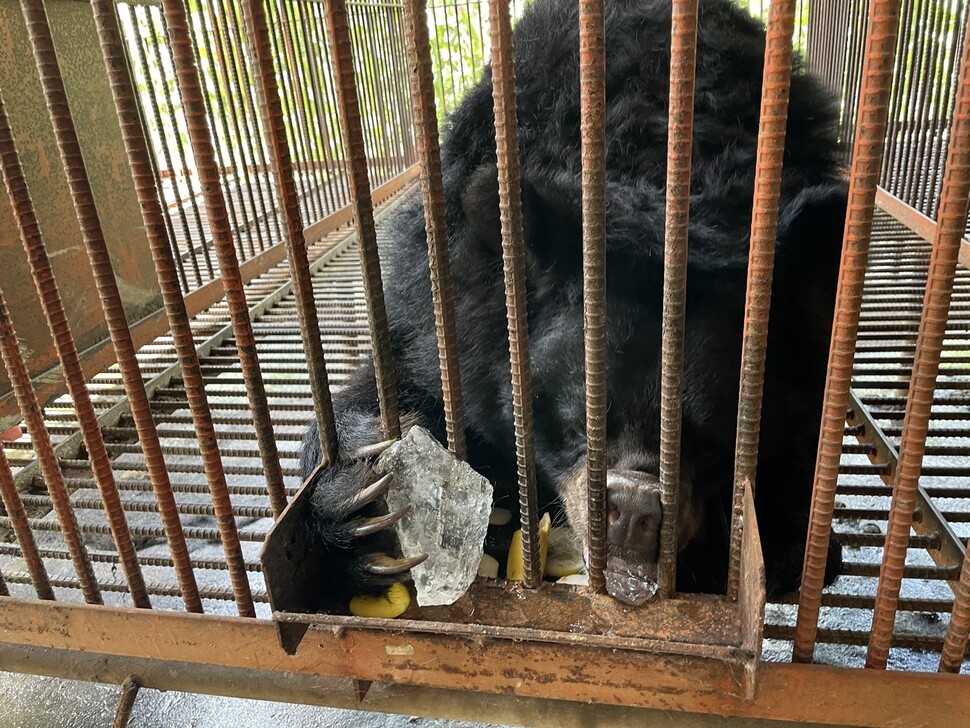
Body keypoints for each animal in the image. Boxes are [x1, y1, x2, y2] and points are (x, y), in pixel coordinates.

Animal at [298, 0, 844, 600]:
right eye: (578, 423)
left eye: (706, 442)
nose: (634, 509)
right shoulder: (442, 292)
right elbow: (398, 378)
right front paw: (364, 496)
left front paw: (784, 539)